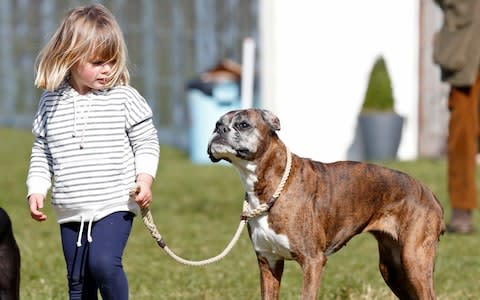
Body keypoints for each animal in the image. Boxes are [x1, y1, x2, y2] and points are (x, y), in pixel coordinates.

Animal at [207, 109, 446, 300]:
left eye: (243, 124)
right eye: (217, 124)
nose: (219, 130)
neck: (271, 184)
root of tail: (430, 194)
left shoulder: (312, 262)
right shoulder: (269, 262)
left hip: (414, 261)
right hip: (393, 270)